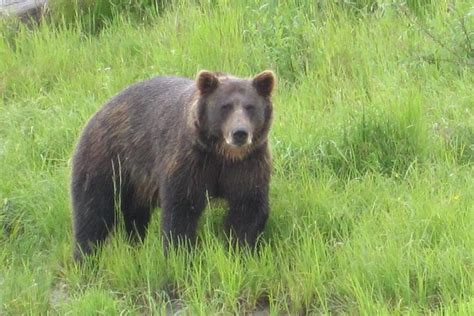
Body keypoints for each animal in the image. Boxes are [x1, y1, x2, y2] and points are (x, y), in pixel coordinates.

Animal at [71, 69, 276, 260]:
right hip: (108, 160)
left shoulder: (247, 164)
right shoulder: (190, 161)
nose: (239, 133)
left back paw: (135, 245)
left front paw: (240, 250)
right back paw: (85, 256)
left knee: (135, 215)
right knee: (92, 211)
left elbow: (247, 207)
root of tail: (101, 110)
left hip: (137, 182)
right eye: (225, 106)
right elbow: (181, 208)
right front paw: (180, 254)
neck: (222, 154)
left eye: (250, 107)